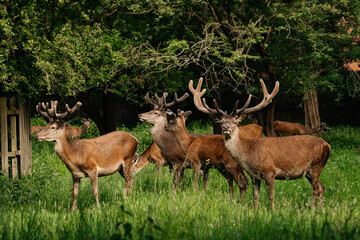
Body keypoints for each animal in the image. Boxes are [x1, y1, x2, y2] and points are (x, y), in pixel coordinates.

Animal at [190, 78, 330, 209]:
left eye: (235, 121)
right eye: (221, 122)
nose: (226, 127)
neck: (249, 153)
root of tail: (327, 146)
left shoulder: (270, 171)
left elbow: (270, 194)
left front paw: (272, 211)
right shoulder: (254, 176)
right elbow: (255, 195)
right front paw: (256, 210)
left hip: (316, 166)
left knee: (316, 189)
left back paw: (313, 208)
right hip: (310, 171)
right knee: (322, 187)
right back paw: (321, 209)